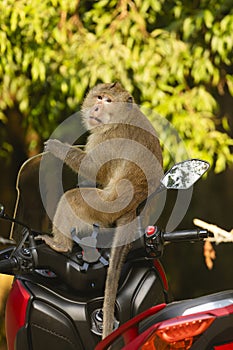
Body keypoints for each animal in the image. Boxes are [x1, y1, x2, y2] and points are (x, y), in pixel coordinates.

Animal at [39, 82, 162, 340]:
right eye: (99, 97)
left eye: (108, 101)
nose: (96, 107)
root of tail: (133, 206)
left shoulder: (106, 136)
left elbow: (93, 168)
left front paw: (57, 147)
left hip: (104, 208)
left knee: (72, 199)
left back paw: (60, 245)